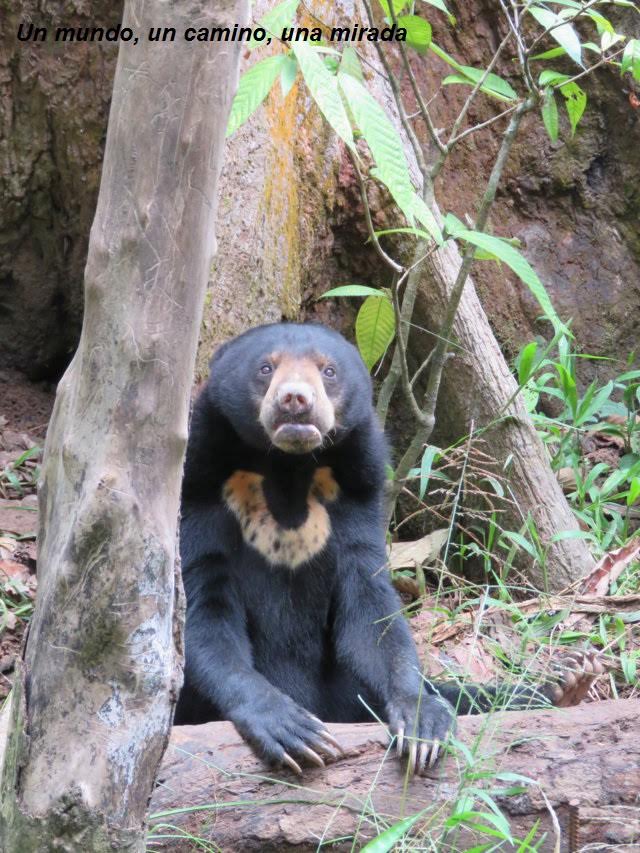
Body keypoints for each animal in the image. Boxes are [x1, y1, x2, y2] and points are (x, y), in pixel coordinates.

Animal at [174, 322, 602, 775]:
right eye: (265, 368)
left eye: (328, 371)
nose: (296, 400)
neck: (288, 469)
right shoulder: (201, 491)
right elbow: (204, 612)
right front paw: (292, 729)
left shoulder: (355, 492)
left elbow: (372, 613)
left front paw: (420, 724)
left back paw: (566, 683)